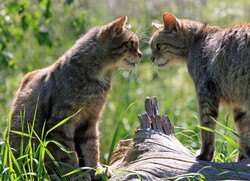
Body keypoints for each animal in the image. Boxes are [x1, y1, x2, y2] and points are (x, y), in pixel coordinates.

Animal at [8, 15, 142, 180]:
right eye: (131, 43)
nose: (141, 54)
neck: (98, 78)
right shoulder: (61, 123)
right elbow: (69, 154)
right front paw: (76, 174)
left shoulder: (90, 121)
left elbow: (92, 147)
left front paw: (96, 169)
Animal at [150, 12, 250, 162]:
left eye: (158, 46)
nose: (151, 58)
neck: (196, 41)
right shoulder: (238, 104)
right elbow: (244, 133)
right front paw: (243, 158)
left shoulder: (205, 93)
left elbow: (207, 128)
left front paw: (205, 155)